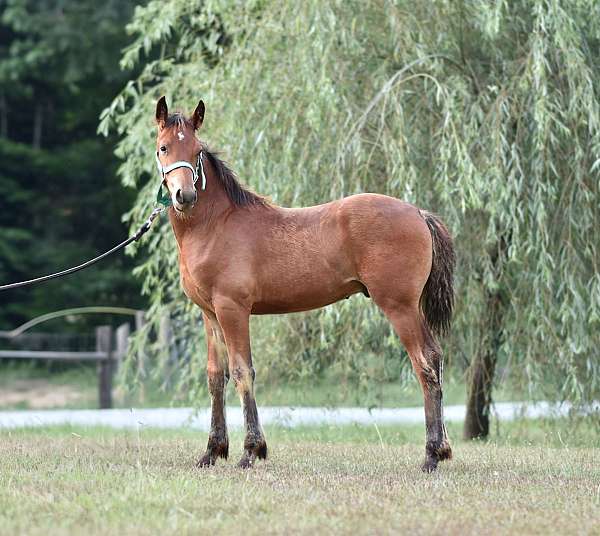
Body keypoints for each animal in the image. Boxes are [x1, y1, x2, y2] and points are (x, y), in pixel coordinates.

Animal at [155, 97, 454, 474]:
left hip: (399, 307)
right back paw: (441, 449)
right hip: (411, 309)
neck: (215, 224)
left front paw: (251, 451)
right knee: (435, 358)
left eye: (196, 151)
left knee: (424, 366)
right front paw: (212, 451)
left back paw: (431, 455)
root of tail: (417, 213)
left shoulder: (232, 309)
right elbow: (215, 376)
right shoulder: (210, 314)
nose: (185, 195)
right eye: (164, 147)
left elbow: (242, 372)